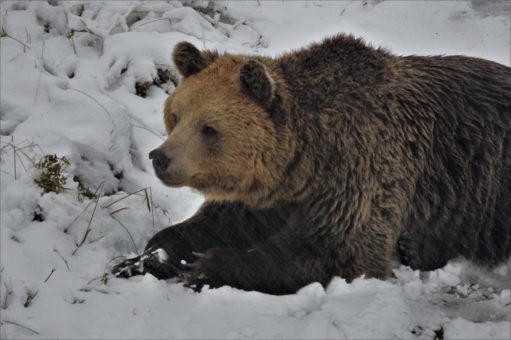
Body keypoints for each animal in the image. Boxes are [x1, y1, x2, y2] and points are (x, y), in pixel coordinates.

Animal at [113, 33, 511, 294]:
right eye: (176, 115)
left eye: (209, 128)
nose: (160, 157)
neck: (304, 164)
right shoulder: (269, 195)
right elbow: (215, 222)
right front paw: (144, 259)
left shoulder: (359, 173)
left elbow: (339, 253)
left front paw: (207, 266)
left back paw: (418, 247)